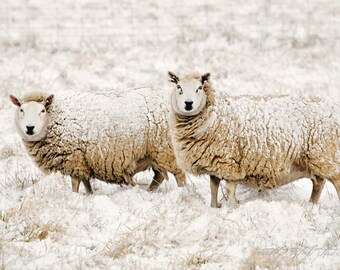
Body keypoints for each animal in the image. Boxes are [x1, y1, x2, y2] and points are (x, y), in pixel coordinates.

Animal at [9, 89, 186, 194]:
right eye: (21, 110)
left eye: (42, 110)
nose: (29, 128)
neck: (56, 118)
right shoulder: (83, 161)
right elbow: (86, 182)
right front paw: (89, 195)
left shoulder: (73, 159)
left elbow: (75, 184)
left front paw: (74, 197)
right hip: (155, 153)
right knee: (159, 176)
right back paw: (149, 192)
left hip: (167, 150)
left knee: (179, 175)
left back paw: (182, 192)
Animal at [168, 71, 340, 207]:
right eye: (179, 88)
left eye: (199, 88)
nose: (188, 104)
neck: (214, 114)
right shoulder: (215, 164)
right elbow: (213, 188)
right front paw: (214, 207)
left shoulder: (230, 163)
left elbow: (229, 190)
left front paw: (231, 208)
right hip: (315, 160)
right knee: (318, 183)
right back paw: (311, 205)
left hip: (327, 156)